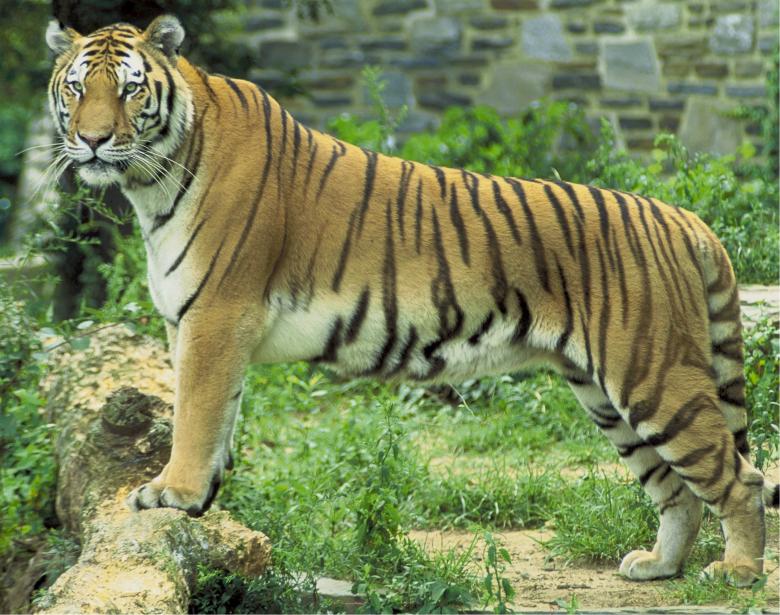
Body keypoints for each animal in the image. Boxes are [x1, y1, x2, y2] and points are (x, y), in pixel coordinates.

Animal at [46, 14, 777, 587]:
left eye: (130, 88)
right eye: (77, 87)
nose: (93, 140)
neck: (152, 182)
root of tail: (683, 217)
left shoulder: (215, 317)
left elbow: (195, 415)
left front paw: (173, 493)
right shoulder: (199, 326)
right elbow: (218, 416)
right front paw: (203, 501)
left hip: (654, 375)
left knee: (740, 478)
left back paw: (737, 572)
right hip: (606, 394)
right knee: (677, 490)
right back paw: (658, 566)